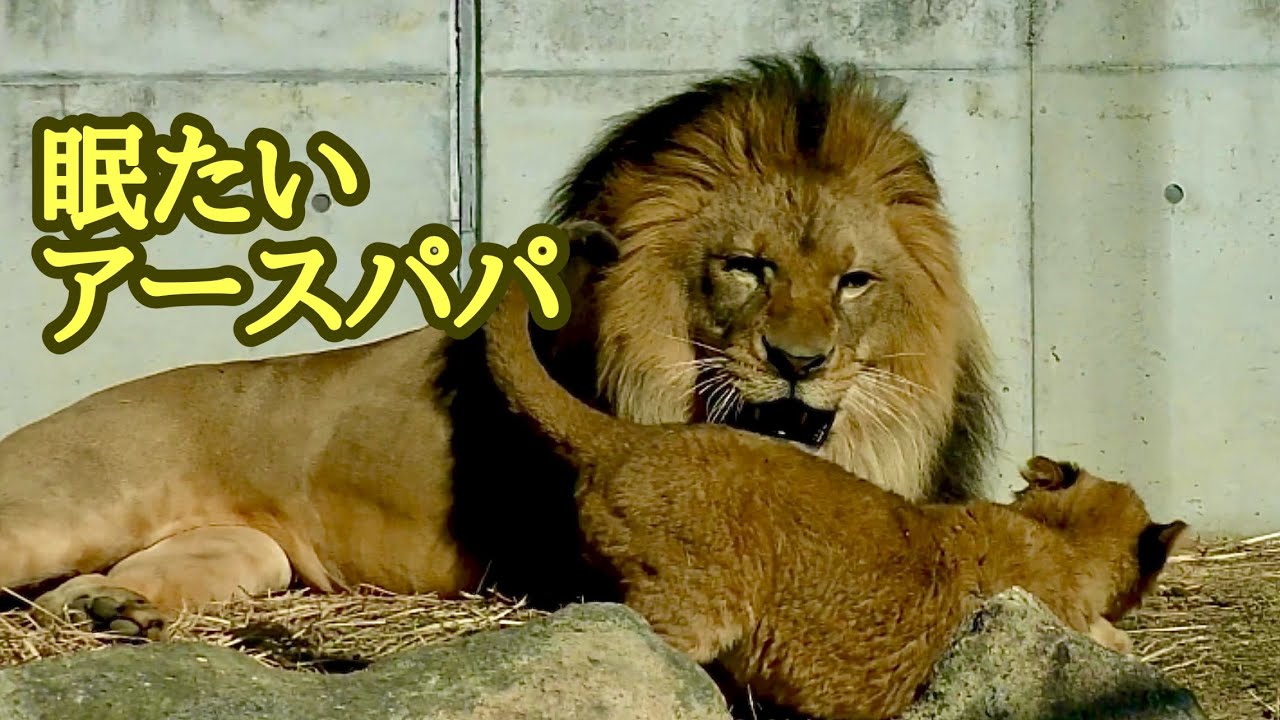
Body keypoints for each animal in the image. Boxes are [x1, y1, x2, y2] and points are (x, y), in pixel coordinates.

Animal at [0, 49, 997, 636]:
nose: (800, 364)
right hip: (69, 503)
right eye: (746, 268)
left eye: (853, 281)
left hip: (246, 553)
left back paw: (111, 609)